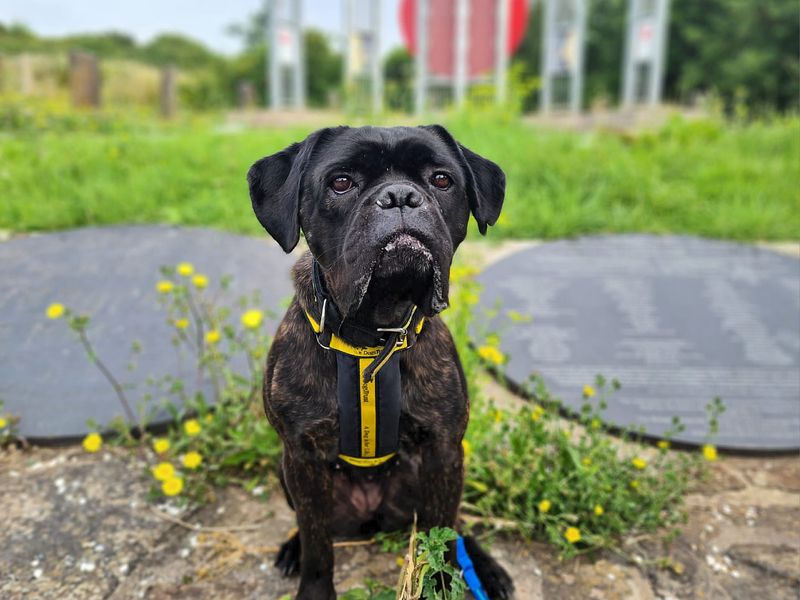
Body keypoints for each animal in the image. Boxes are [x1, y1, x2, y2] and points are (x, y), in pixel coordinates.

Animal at [247, 124, 516, 596]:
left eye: (441, 179)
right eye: (340, 183)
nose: (399, 196)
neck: (375, 334)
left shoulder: (444, 452)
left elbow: (442, 536)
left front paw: (443, 584)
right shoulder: (301, 456)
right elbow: (318, 543)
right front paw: (313, 582)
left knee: (457, 528)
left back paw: (484, 567)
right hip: (288, 472)